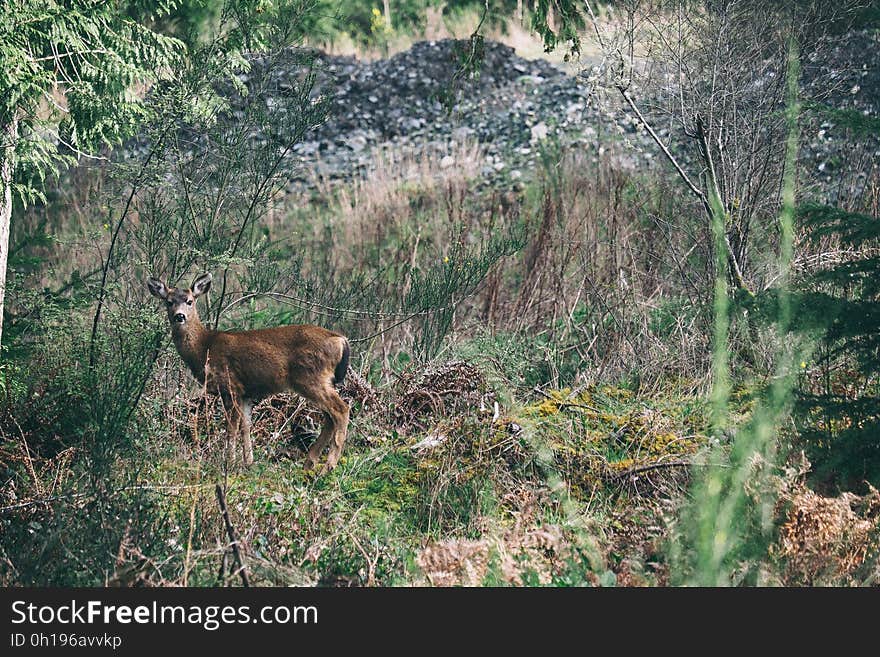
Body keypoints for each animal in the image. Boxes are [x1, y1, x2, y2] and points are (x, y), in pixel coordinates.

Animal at [148, 272, 350, 472]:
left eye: (190, 301)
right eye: (169, 302)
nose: (179, 316)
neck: (204, 348)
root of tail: (341, 340)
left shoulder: (231, 386)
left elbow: (232, 428)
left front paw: (229, 462)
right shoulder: (245, 393)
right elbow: (246, 425)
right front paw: (248, 462)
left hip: (310, 377)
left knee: (341, 409)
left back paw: (327, 467)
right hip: (318, 380)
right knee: (329, 417)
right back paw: (310, 463)